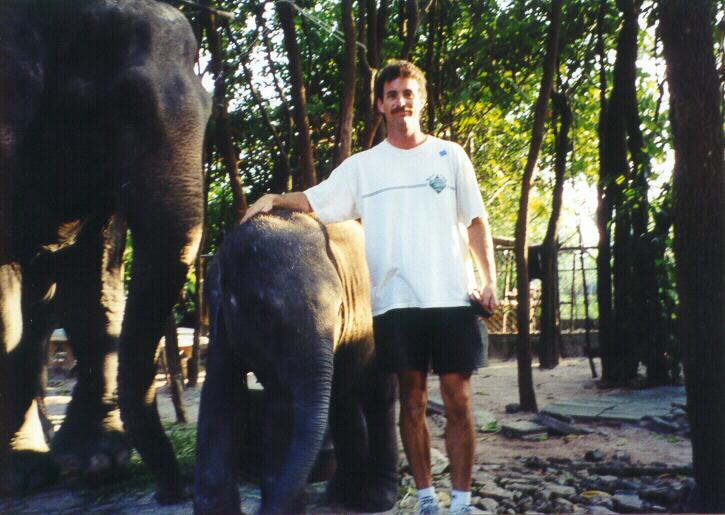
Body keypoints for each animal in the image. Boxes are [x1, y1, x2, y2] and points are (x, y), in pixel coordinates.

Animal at [0, 0, 209, 502]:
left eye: (211, 107)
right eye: (121, 108)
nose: (175, 492)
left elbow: (92, 278)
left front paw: (100, 464)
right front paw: (22, 476)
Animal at [194, 212, 396, 512]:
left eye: (340, 310)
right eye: (265, 314)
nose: (263, 511)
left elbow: (283, 406)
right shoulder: (223, 328)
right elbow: (222, 393)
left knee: (378, 395)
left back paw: (375, 499)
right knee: (342, 398)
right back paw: (340, 493)